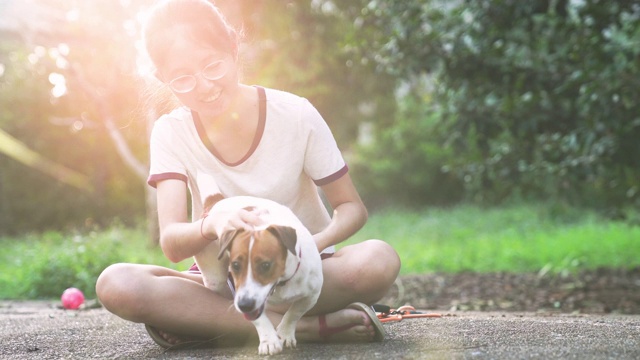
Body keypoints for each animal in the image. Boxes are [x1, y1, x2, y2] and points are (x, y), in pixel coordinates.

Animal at [192, 194, 322, 354]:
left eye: (265, 265)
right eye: (235, 265)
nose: (244, 305)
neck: (280, 283)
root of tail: (216, 201)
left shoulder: (312, 295)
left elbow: (294, 313)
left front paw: (285, 333)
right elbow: (259, 319)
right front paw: (269, 340)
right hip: (215, 277)